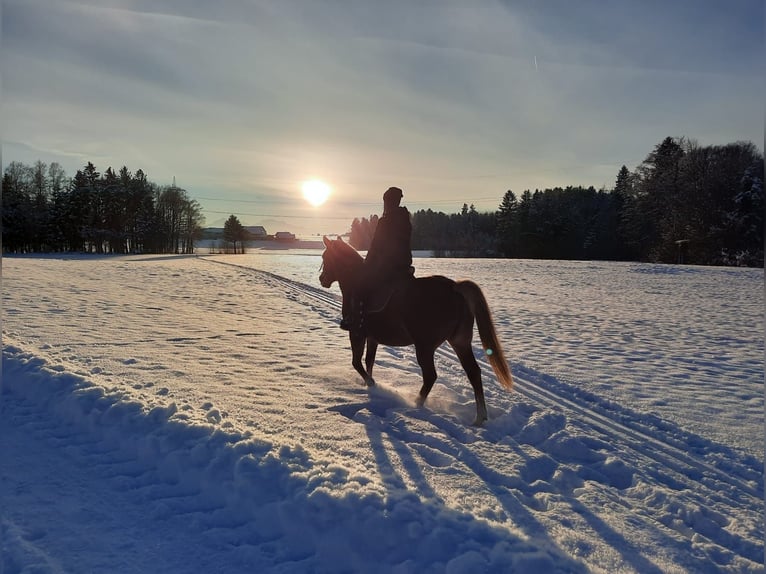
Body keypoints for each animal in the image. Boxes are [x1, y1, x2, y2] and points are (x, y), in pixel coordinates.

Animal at [320, 235, 512, 428]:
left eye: (325, 257)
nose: (322, 279)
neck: (356, 282)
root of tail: (454, 287)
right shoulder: (372, 338)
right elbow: (369, 362)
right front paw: (369, 386)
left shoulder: (357, 333)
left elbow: (356, 362)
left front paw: (372, 384)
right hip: (460, 342)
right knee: (473, 372)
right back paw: (479, 418)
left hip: (424, 346)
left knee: (430, 376)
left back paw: (416, 404)